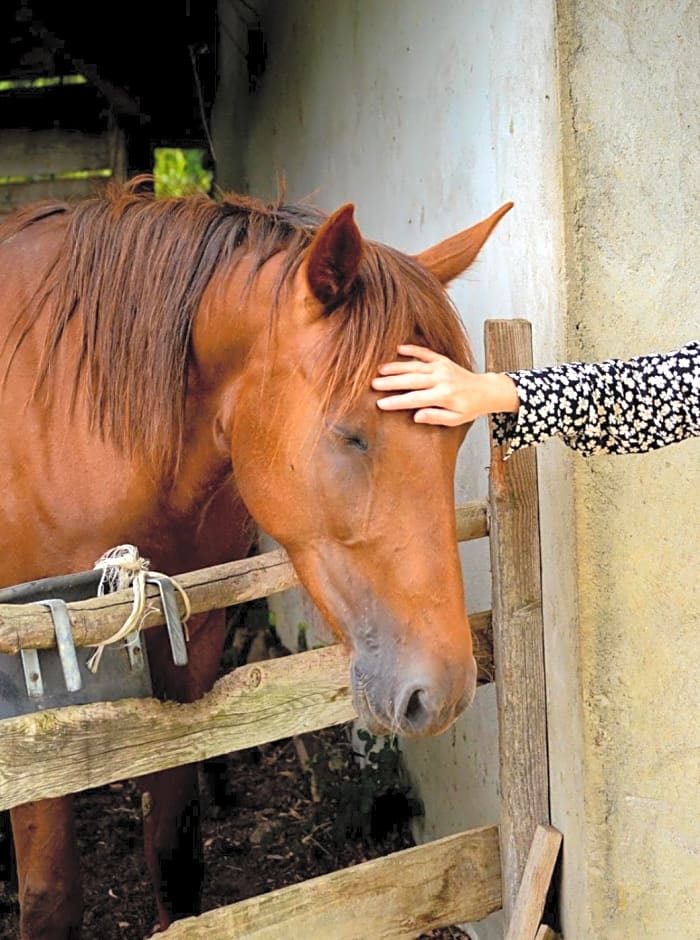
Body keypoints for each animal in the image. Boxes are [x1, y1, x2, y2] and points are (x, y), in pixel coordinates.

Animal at [0, 178, 516, 940]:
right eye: (349, 435)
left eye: (455, 436)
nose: (443, 692)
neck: (71, 414)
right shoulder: (32, 689)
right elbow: (51, 900)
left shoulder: (185, 645)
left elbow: (175, 853)